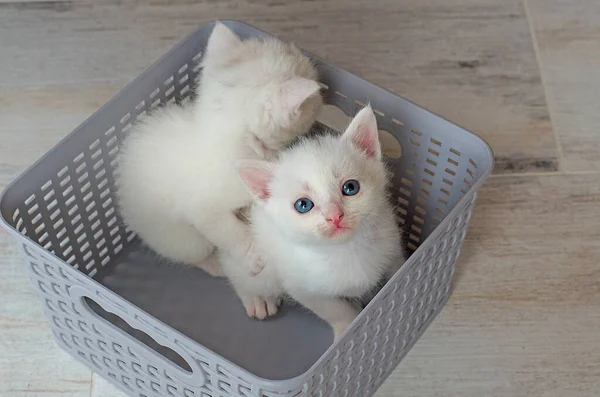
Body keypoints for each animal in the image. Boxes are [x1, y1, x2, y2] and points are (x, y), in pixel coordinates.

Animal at [118, 22, 324, 276]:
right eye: (315, 99)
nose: (323, 94)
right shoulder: (203, 208)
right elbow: (228, 231)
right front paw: (253, 254)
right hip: (180, 238)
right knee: (193, 251)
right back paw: (213, 264)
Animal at [218, 106, 406, 340]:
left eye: (351, 187)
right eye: (303, 205)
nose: (334, 215)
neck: (345, 250)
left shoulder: (392, 246)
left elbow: (397, 271)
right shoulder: (302, 287)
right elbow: (334, 309)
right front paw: (346, 327)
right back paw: (257, 298)